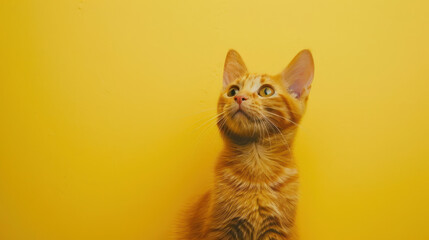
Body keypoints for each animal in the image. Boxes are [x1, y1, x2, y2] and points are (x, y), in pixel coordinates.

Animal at [177, 49, 314, 240]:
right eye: (232, 90)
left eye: (266, 91)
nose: (239, 97)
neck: (257, 169)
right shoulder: (218, 228)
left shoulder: (278, 231)